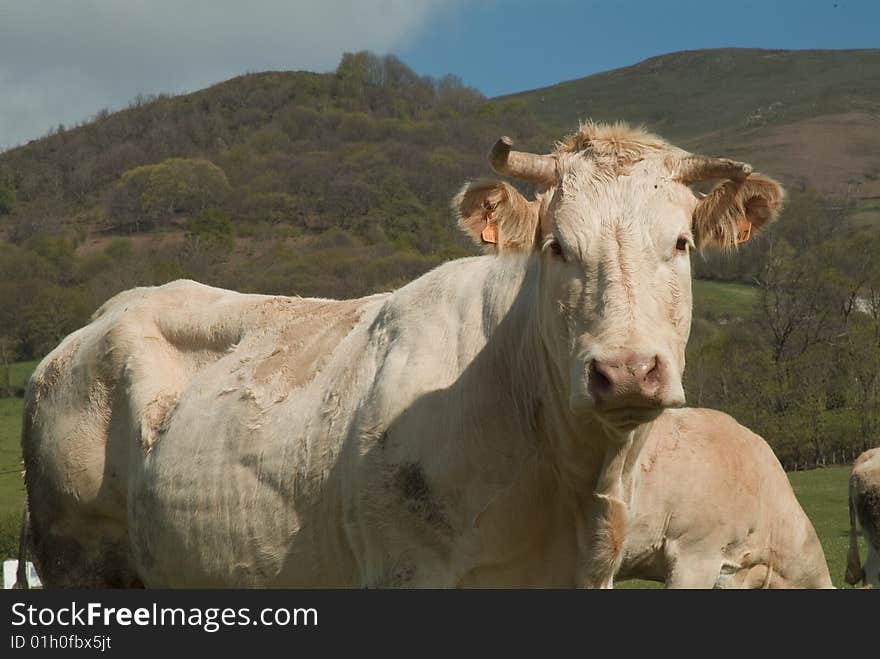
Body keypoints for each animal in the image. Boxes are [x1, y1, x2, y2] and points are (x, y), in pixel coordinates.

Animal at [20, 122, 780, 588]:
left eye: (681, 242)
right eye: (556, 245)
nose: (625, 371)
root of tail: (100, 317)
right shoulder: (407, 568)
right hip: (77, 554)